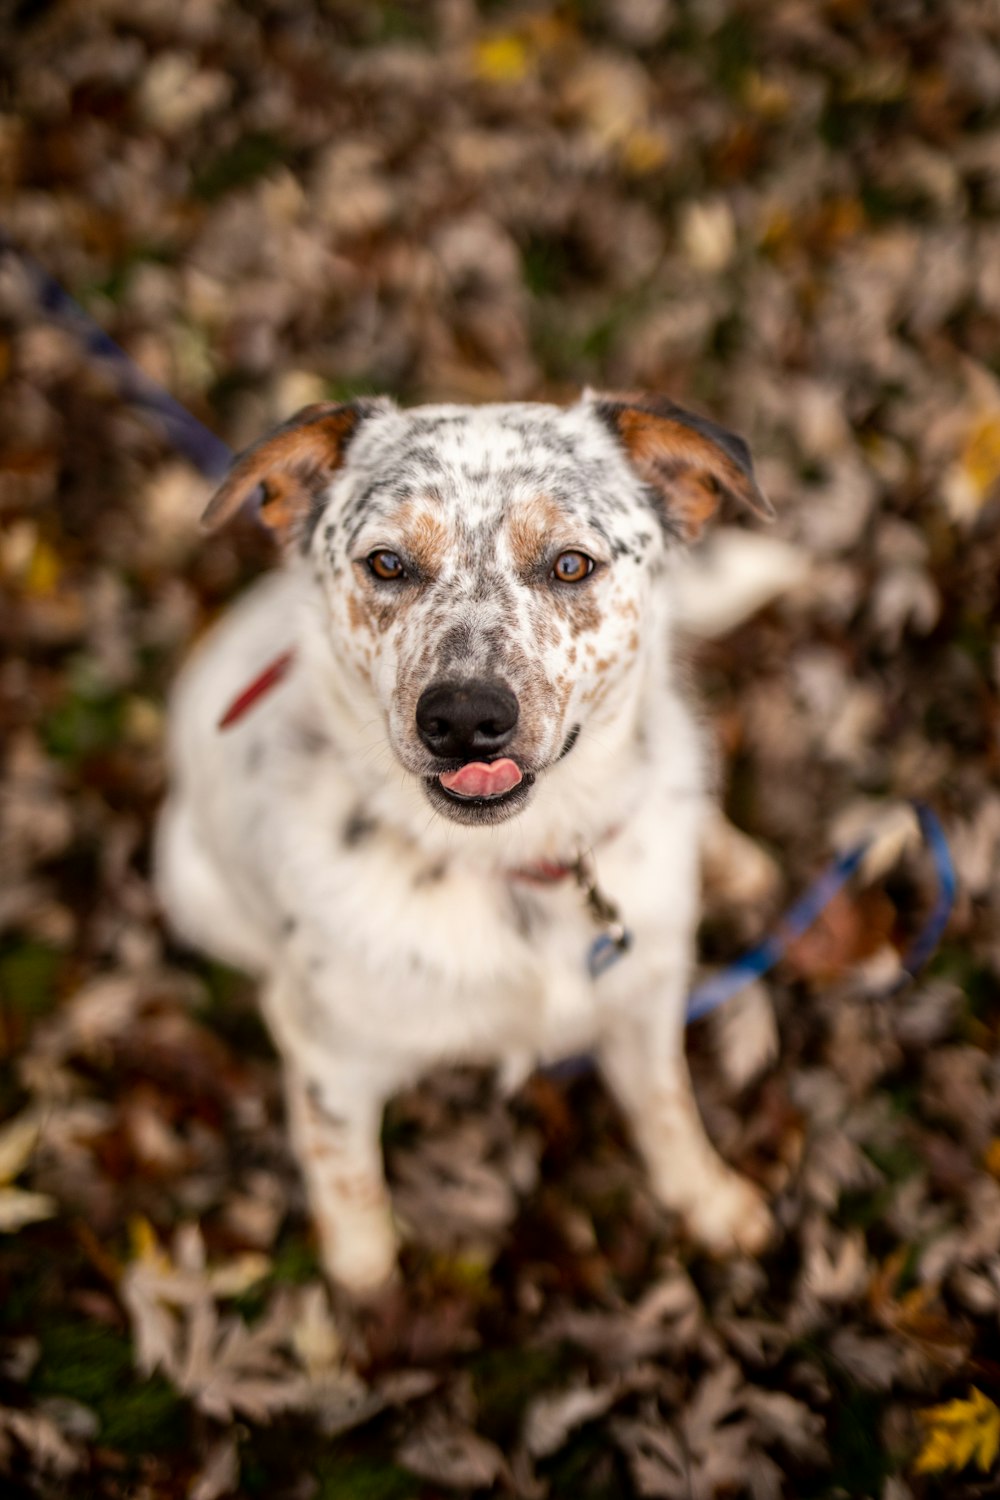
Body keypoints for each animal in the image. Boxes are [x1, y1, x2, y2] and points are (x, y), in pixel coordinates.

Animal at [156, 393, 779, 1296]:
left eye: (570, 565)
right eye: (386, 564)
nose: (463, 719)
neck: (515, 868)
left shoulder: (643, 1003)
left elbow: (668, 1110)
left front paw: (710, 1200)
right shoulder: (332, 1061)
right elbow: (347, 1177)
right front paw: (364, 1282)